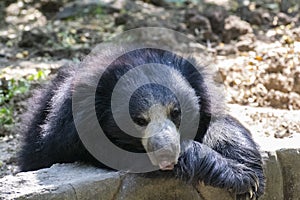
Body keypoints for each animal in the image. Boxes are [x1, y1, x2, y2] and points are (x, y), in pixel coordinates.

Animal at [17, 46, 264, 198]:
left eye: (176, 112)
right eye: (139, 120)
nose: (166, 153)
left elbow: (221, 123)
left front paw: (253, 179)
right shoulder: (72, 135)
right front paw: (240, 177)